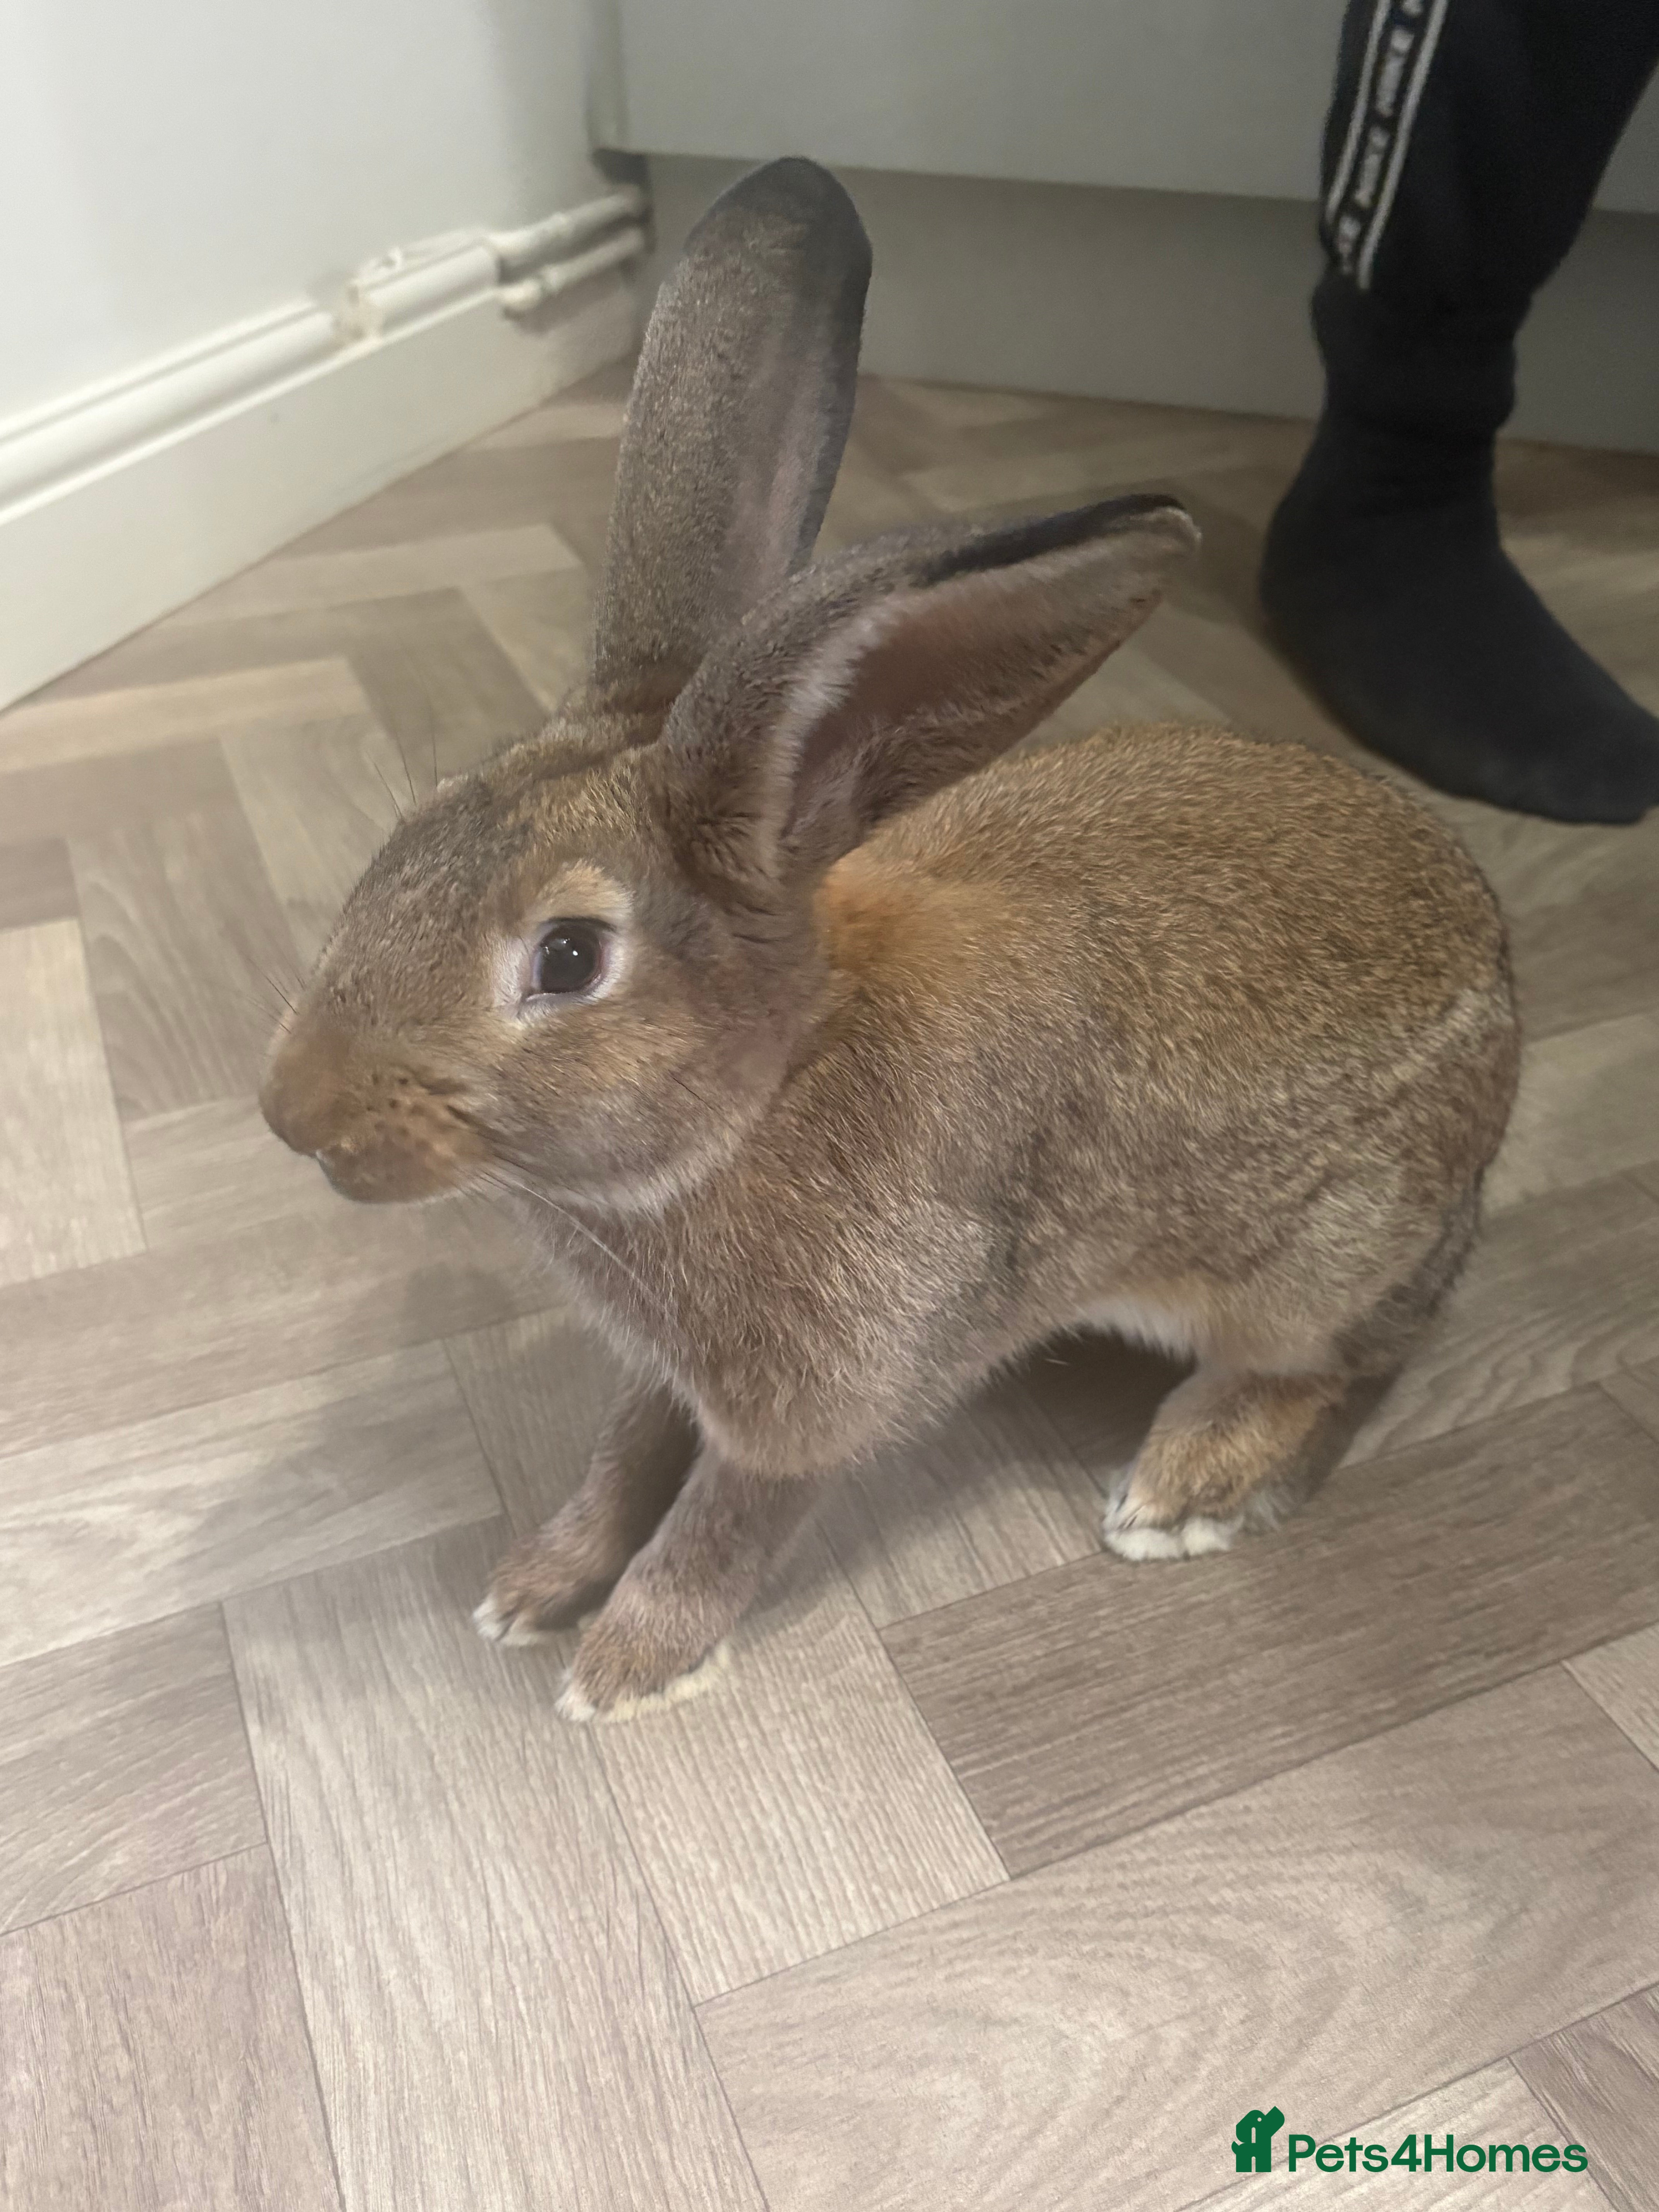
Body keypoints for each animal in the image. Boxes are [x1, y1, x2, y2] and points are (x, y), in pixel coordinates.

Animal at [260, 157, 1520, 1722]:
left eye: (565, 961)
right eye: (411, 832)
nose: (290, 1109)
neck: (763, 1095)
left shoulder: (823, 1391)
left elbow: (727, 1522)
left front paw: (623, 1666)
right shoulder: (674, 1377)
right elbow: (626, 1457)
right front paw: (534, 1587)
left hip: (1310, 1267)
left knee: (1355, 1361)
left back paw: (1184, 1487)